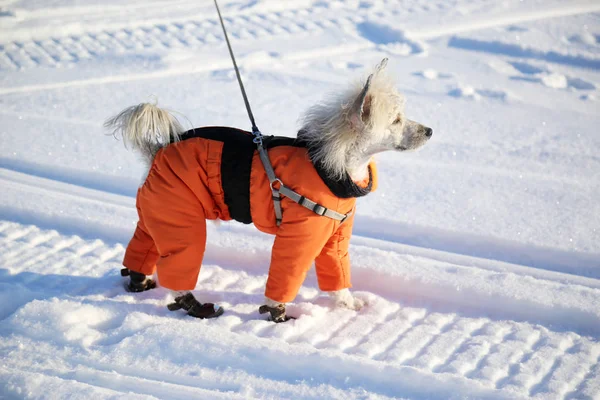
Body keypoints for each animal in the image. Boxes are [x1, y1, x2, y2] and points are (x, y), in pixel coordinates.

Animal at [104, 58, 432, 322]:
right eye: (396, 120)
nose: (429, 130)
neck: (332, 165)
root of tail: (157, 152)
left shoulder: (334, 236)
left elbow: (337, 274)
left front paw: (348, 304)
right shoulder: (301, 236)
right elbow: (287, 274)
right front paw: (278, 314)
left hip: (158, 211)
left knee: (143, 244)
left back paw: (139, 282)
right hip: (180, 218)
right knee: (181, 262)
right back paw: (195, 306)